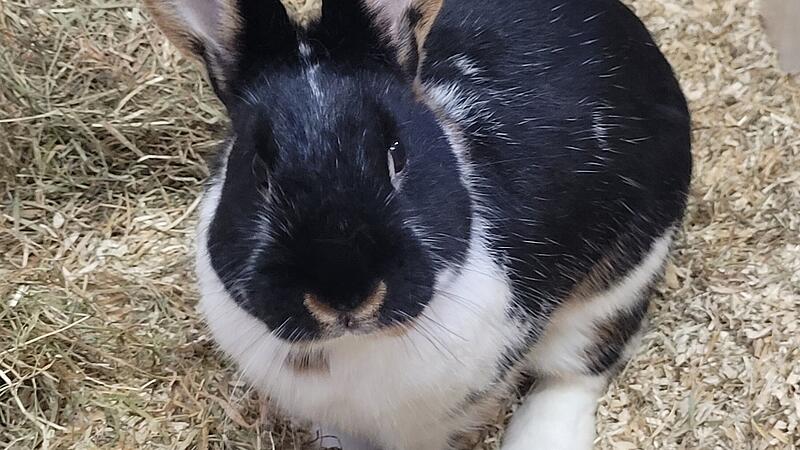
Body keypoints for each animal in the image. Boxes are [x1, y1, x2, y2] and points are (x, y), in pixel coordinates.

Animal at [144, 0, 692, 449]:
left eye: (396, 153)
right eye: (258, 169)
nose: (345, 297)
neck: (349, 346)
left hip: (621, 281)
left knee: (575, 372)